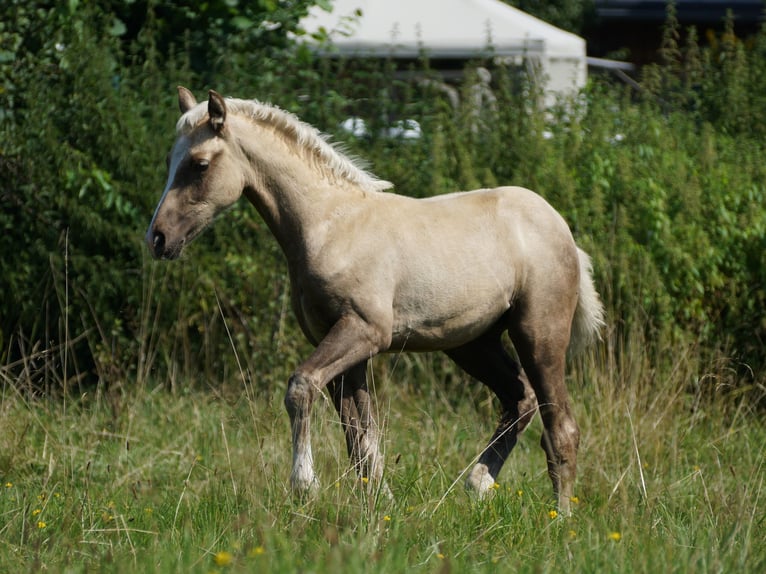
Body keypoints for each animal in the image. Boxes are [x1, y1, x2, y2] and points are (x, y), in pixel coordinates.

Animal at [147, 86, 608, 516]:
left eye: (199, 164)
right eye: (170, 160)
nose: (158, 238)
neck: (330, 226)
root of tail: (562, 229)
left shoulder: (365, 331)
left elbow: (301, 387)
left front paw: (305, 485)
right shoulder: (342, 347)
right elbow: (360, 436)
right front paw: (379, 504)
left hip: (538, 332)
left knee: (561, 425)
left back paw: (560, 517)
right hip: (472, 343)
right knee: (519, 398)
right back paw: (477, 484)